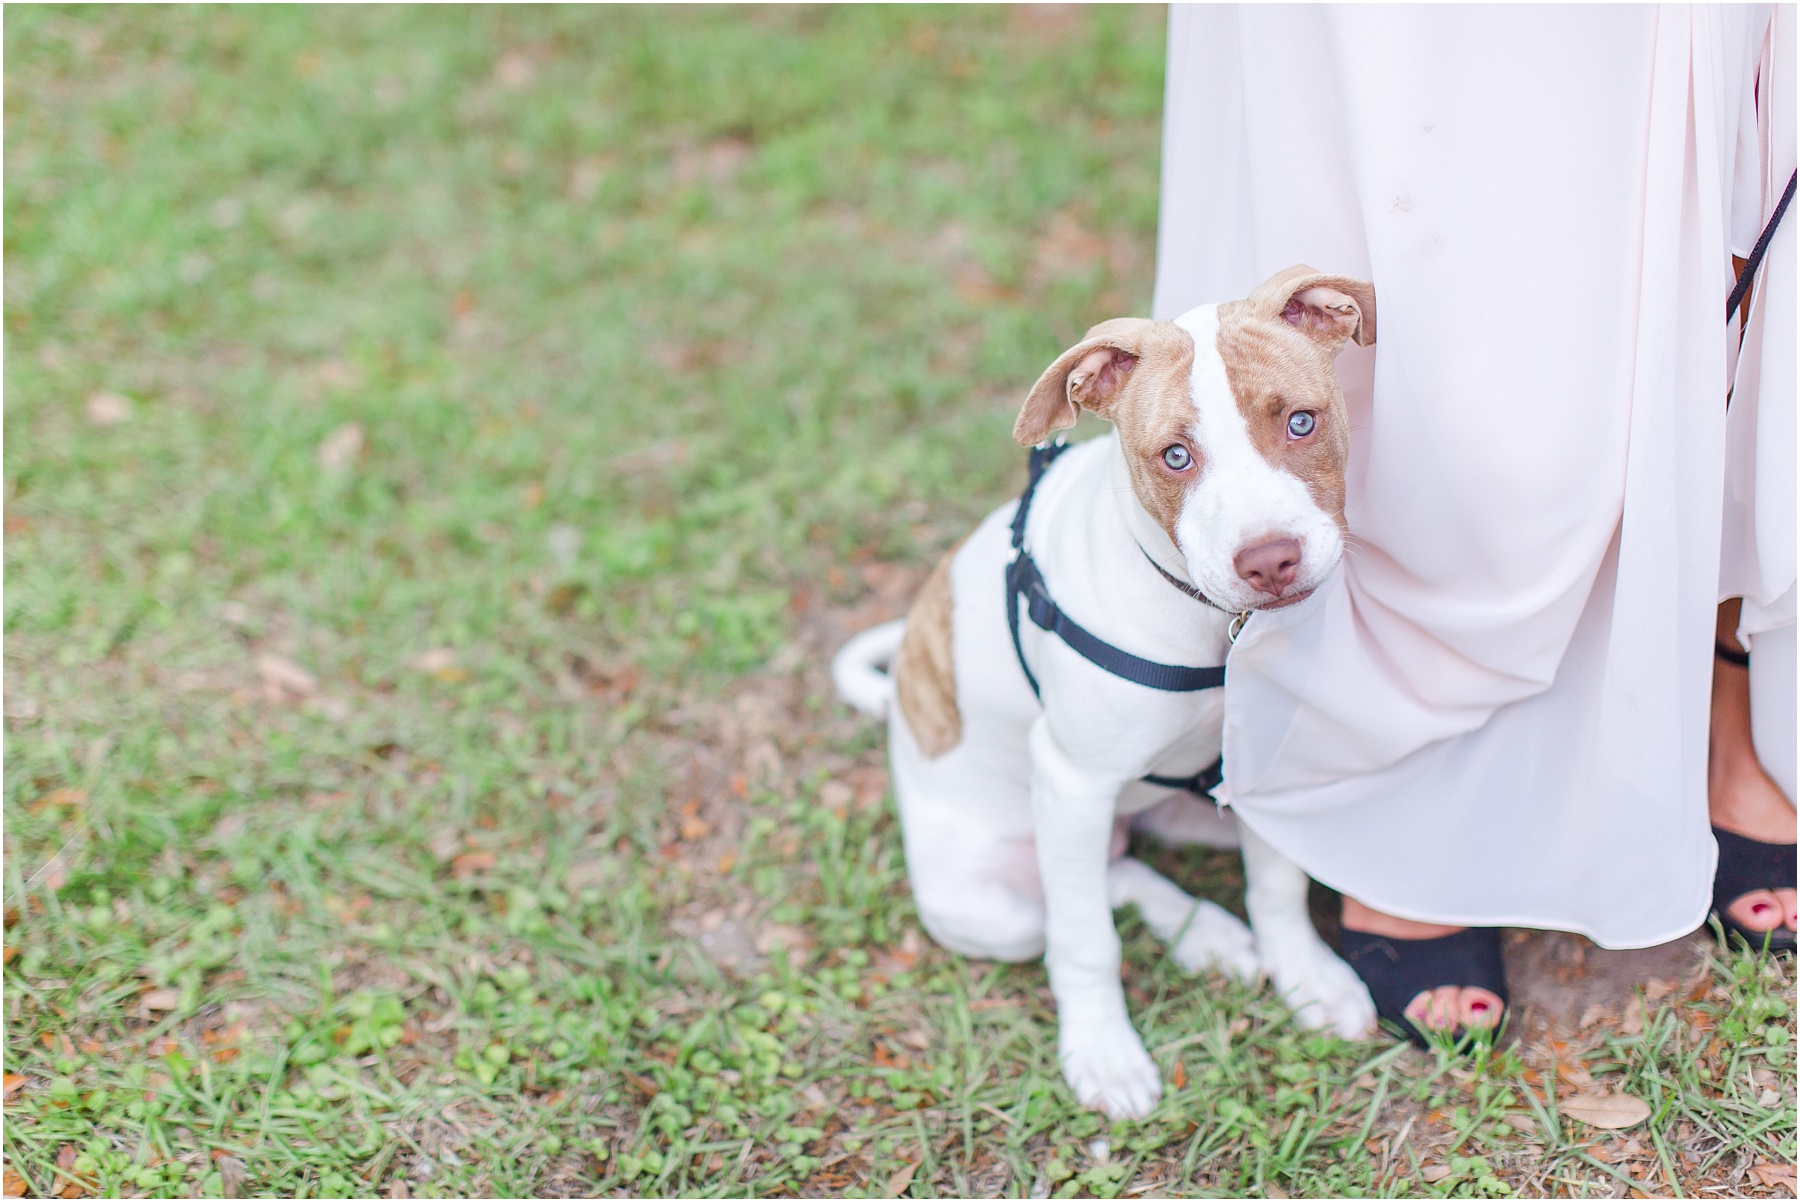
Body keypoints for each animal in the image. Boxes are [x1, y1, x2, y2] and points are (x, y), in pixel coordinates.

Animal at [831, 264, 1375, 1115]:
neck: (1209, 623)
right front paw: (1103, 1051)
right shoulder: (1071, 778)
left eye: (1300, 422)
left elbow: (1277, 884)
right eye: (1175, 456)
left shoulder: (1260, 759)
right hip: (995, 900)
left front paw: (1308, 977)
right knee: (1076, 899)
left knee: (1125, 864)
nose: (1268, 560)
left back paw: (1210, 933)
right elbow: (1086, 940)